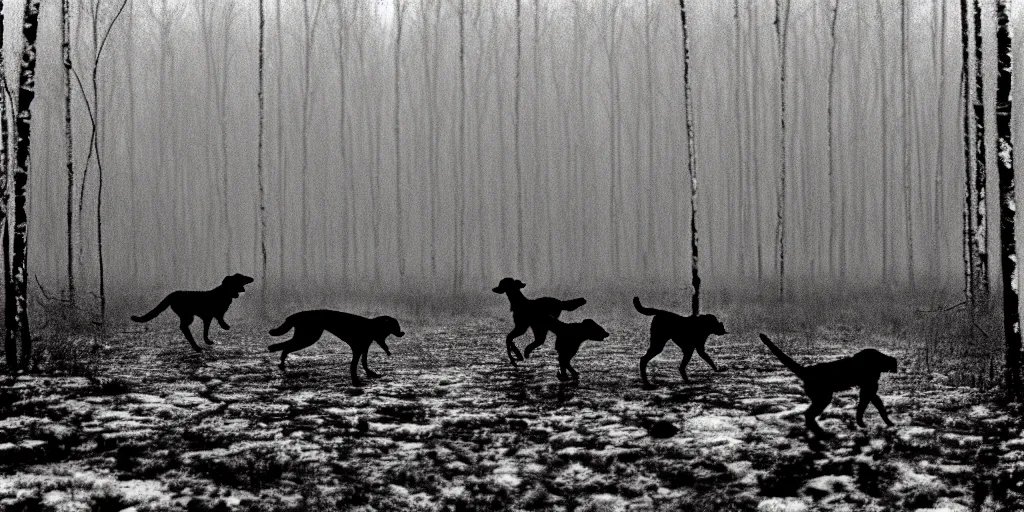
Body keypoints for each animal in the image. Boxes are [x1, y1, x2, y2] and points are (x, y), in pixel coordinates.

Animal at [268, 307, 403, 385]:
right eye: (396, 326)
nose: (402, 333)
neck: (372, 327)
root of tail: (294, 316)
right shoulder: (357, 350)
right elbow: (354, 365)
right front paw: (355, 380)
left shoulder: (363, 349)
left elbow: (364, 363)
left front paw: (369, 373)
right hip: (308, 337)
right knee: (284, 347)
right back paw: (279, 358)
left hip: (307, 336)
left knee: (285, 347)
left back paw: (281, 361)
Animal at [761, 333, 897, 438]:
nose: (895, 369)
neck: (879, 360)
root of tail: (807, 370)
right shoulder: (868, 387)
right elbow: (864, 405)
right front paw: (862, 422)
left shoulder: (869, 388)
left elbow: (877, 404)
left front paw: (887, 422)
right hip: (823, 396)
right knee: (808, 414)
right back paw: (821, 433)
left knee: (808, 414)